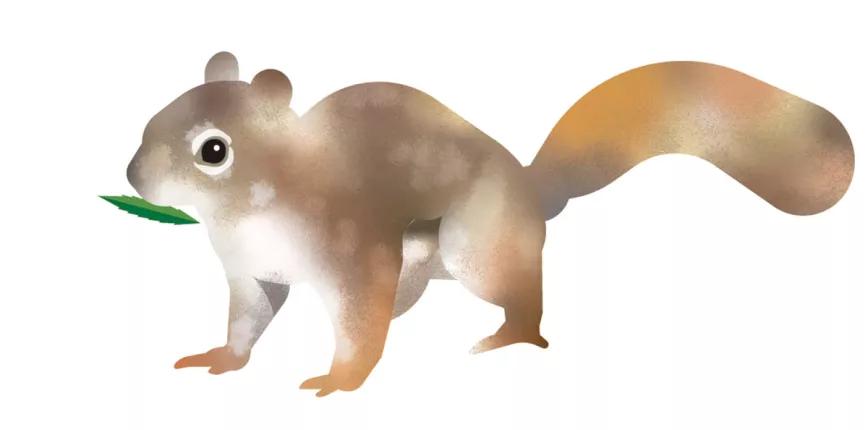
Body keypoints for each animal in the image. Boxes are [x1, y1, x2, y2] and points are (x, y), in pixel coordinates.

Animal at [126, 51, 854, 396]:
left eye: (213, 150)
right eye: (152, 119)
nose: (134, 179)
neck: (252, 211)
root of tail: (529, 190)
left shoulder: (353, 251)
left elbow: (359, 322)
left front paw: (341, 378)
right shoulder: (251, 274)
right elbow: (249, 320)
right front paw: (222, 357)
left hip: (474, 246)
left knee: (520, 297)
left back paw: (512, 336)